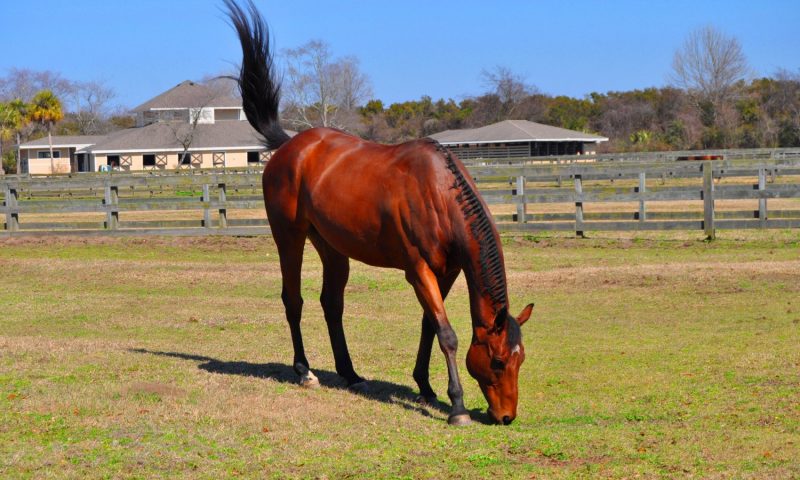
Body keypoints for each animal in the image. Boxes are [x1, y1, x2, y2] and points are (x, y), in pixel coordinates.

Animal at [227, 0, 532, 428]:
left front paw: (425, 387)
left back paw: (350, 373)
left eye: (521, 360)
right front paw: (456, 407)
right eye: (500, 361)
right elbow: (447, 333)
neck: (438, 193)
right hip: (289, 237)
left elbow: (430, 325)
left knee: (331, 303)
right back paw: (304, 371)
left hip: (332, 248)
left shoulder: (447, 271)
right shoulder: (418, 270)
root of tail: (290, 146)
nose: (506, 416)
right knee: (293, 300)